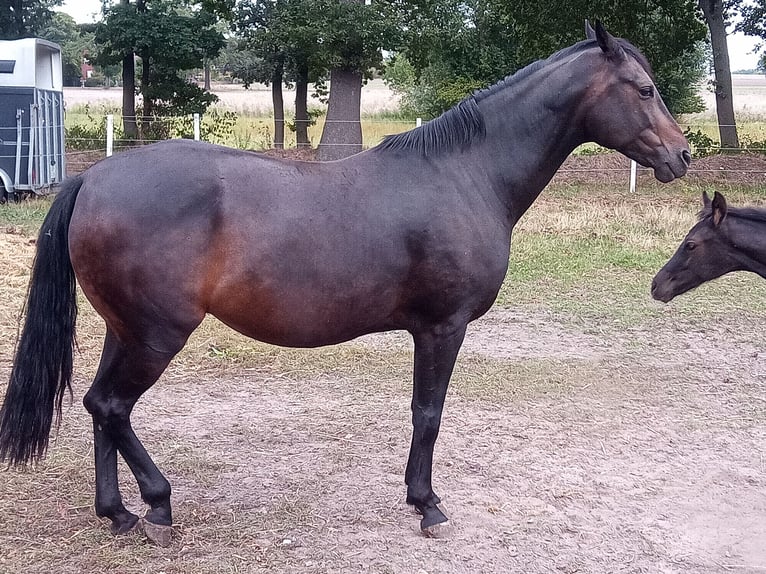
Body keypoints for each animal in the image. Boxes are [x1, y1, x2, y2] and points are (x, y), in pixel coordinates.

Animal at [0, 22, 688, 544]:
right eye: (645, 89)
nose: (681, 156)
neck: (466, 174)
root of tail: (94, 178)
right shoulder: (442, 328)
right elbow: (428, 414)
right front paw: (427, 505)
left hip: (127, 331)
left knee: (99, 407)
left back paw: (117, 513)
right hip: (156, 335)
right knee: (111, 407)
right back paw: (159, 504)